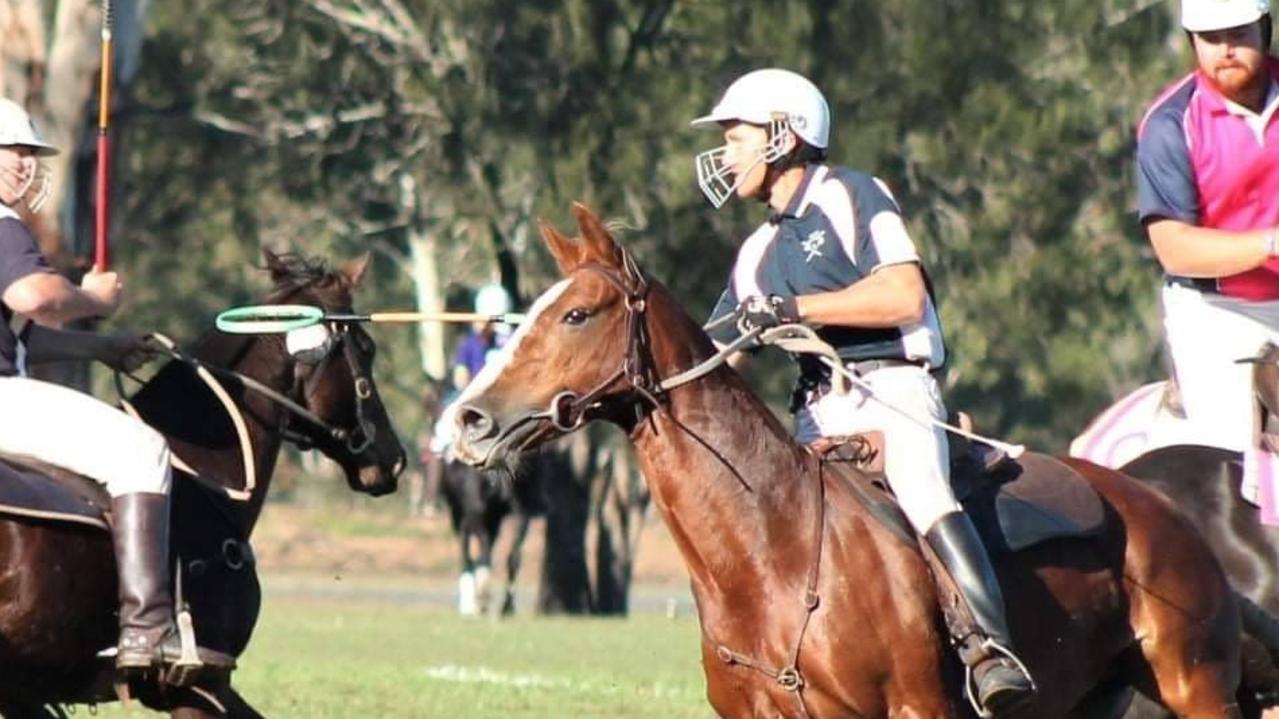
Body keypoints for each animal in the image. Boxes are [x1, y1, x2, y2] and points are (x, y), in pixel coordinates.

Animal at [447, 199, 1238, 716]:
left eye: (577, 314)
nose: (470, 419)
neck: (769, 551)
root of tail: (1162, 507)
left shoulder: (916, 710)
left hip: (1194, 682)